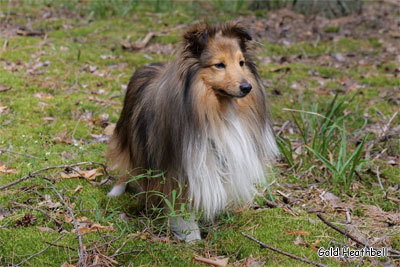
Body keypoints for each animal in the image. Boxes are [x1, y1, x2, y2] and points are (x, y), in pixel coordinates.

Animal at [106, 23, 278, 243]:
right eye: (219, 65)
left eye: (241, 63)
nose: (247, 87)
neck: (217, 110)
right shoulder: (179, 167)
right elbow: (181, 205)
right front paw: (191, 235)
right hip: (130, 138)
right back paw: (116, 191)